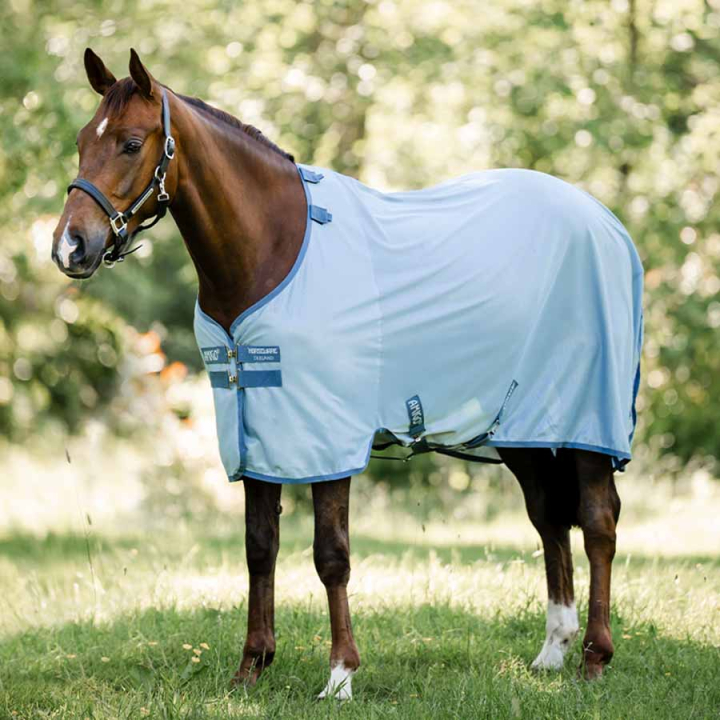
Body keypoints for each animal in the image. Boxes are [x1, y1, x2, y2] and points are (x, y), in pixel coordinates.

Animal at [52, 49, 642, 699]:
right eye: (82, 141)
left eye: (132, 144)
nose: (70, 247)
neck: (274, 248)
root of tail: (606, 223)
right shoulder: (258, 430)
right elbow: (260, 547)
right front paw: (251, 666)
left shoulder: (325, 435)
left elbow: (330, 554)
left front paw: (339, 675)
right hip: (525, 431)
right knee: (549, 520)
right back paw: (552, 653)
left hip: (585, 424)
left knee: (598, 522)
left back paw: (594, 656)